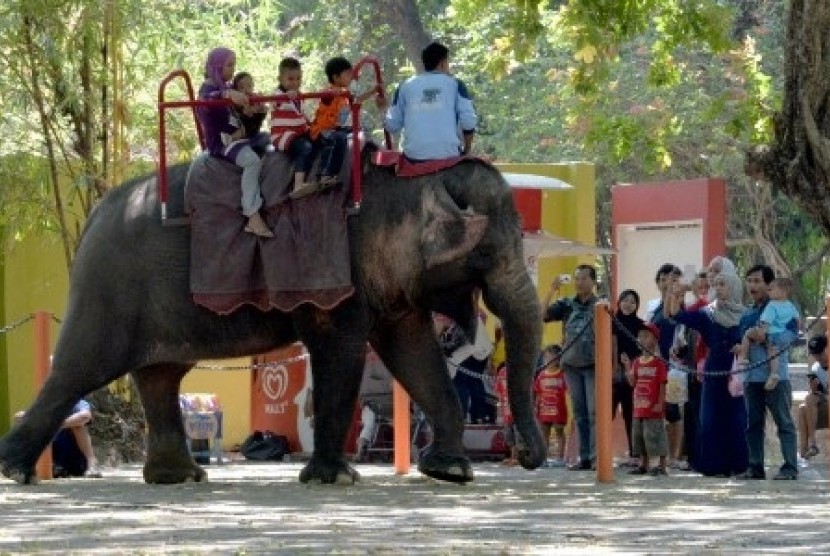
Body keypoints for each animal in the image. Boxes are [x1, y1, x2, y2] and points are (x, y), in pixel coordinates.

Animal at [0, 149, 548, 486]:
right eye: (489, 252)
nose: (526, 456)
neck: (412, 172)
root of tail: (93, 212)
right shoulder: (333, 267)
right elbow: (340, 350)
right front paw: (335, 478)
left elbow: (412, 353)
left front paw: (452, 472)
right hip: (107, 293)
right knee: (81, 368)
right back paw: (16, 470)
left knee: (159, 375)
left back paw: (179, 478)